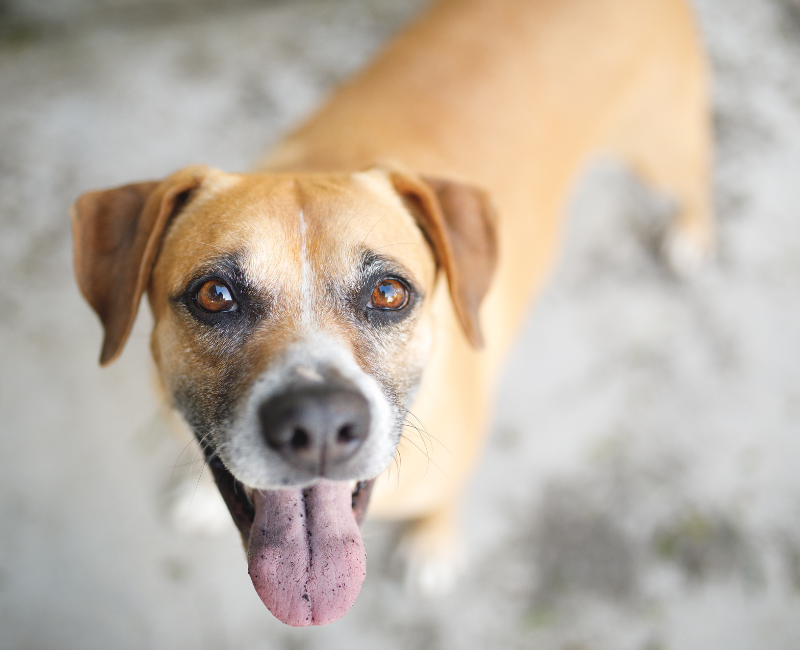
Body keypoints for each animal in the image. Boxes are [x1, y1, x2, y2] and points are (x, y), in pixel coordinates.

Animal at [70, 0, 712, 628]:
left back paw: (690, 236)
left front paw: (433, 547)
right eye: (215, 295)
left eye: (388, 293)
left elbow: (444, 502)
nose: (318, 426)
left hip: (664, 147)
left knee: (696, 179)